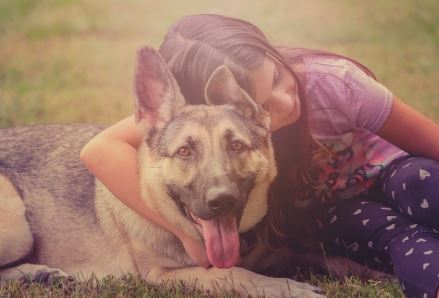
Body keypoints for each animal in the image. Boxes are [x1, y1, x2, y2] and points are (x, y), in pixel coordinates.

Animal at [0, 47, 324, 296]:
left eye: (236, 145)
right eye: (184, 151)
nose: (222, 201)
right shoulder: (163, 274)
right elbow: (230, 273)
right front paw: (284, 286)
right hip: (17, 220)